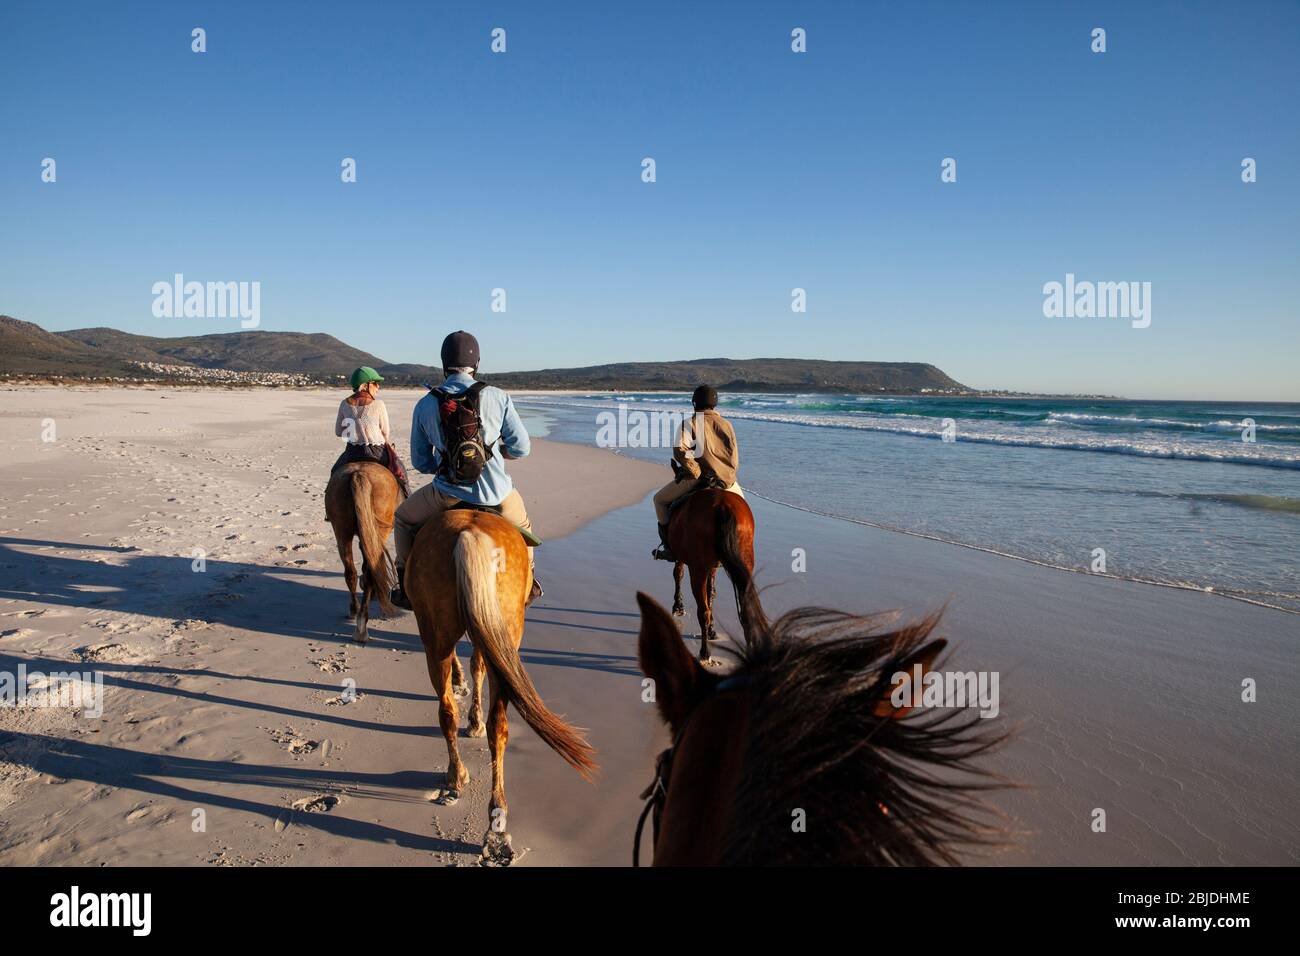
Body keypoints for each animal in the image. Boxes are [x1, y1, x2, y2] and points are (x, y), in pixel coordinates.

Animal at [323, 463, 400, 642]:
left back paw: (355, 612)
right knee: (371, 571)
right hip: (380, 530)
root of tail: (358, 474)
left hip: (341, 532)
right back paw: (361, 625)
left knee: (350, 572)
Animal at [405, 509, 598, 868]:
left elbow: (474, 665)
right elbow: (477, 666)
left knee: (449, 710)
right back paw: (490, 815)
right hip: (503, 630)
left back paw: (464, 785)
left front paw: (472, 717)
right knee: (495, 723)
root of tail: (468, 533)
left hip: (437, 637)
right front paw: (474, 720)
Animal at [665, 489, 764, 660]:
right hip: (745, 565)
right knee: (745, 609)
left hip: (698, 569)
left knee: (702, 610)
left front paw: (678, 606)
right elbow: (711, 593)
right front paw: (712, 630)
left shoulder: (682, 557)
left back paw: (705, 652)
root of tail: (723, 505)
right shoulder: (712, 567)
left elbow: (678, 574)